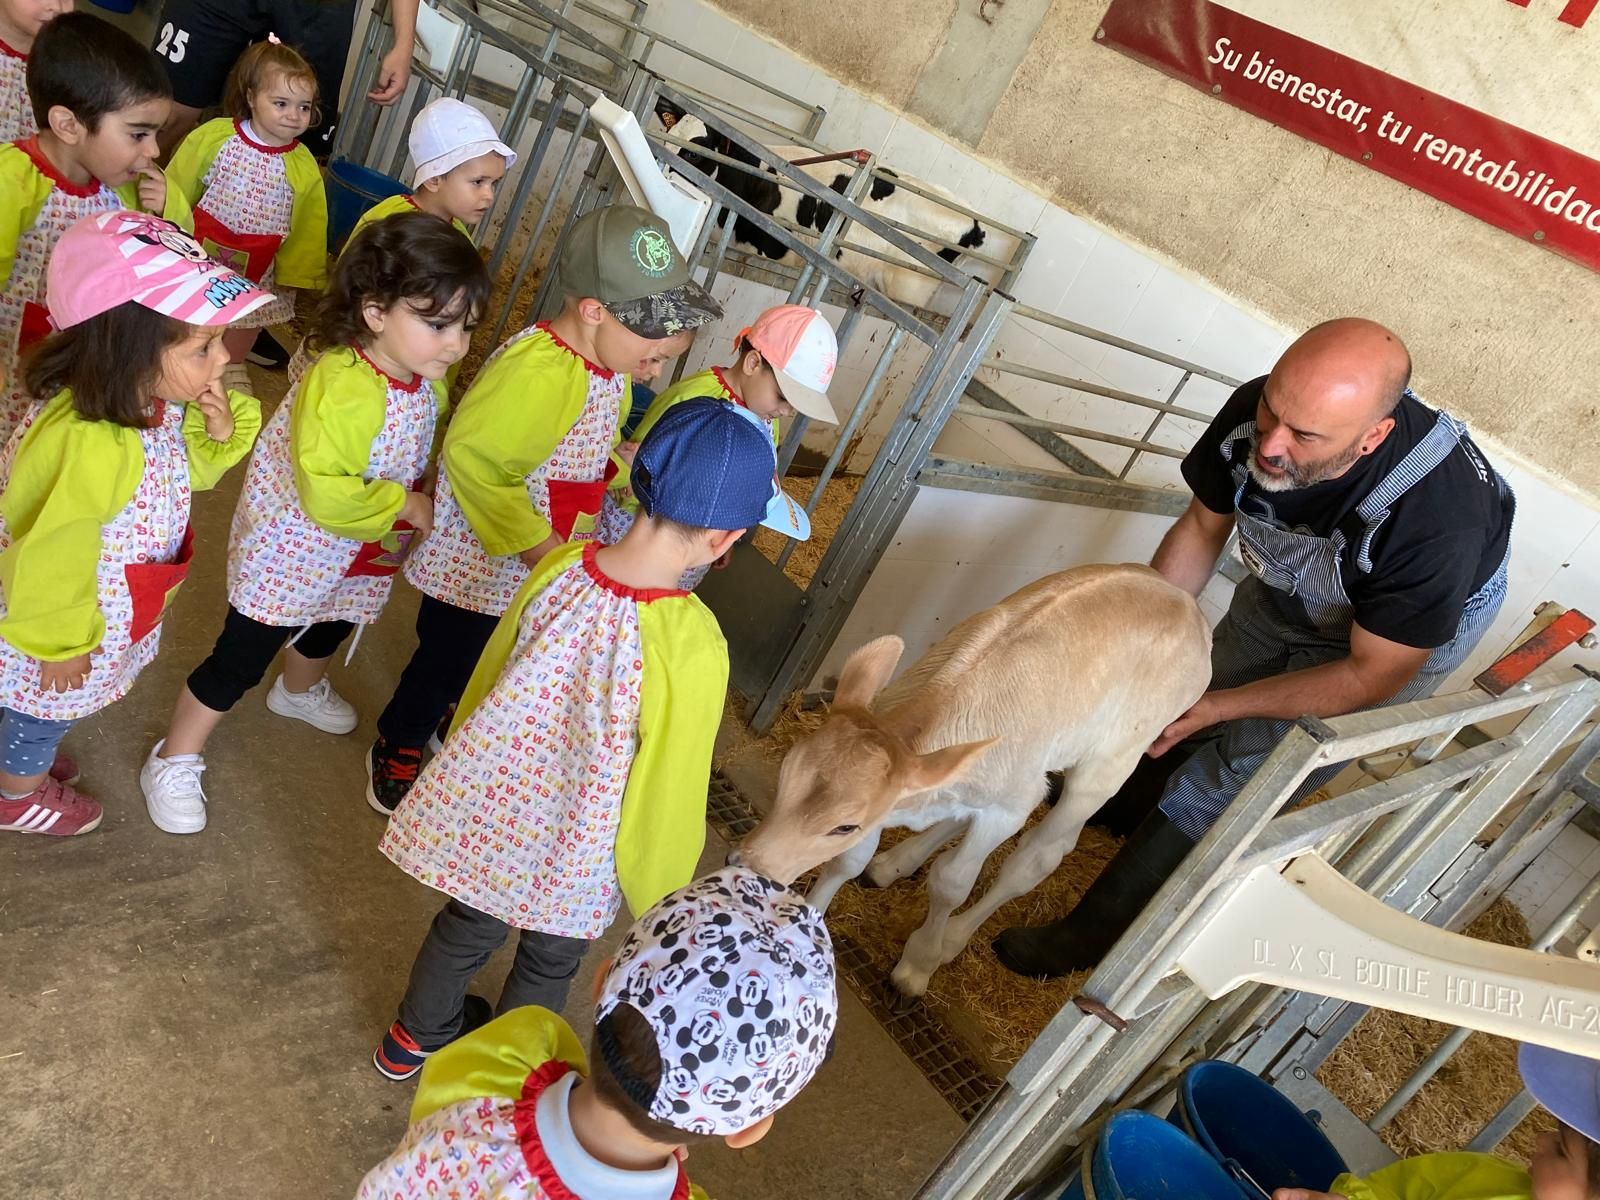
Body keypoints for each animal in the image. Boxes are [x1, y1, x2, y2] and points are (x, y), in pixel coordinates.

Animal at [732, 569, 1203, 998]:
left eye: (844, 824)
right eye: (786, 771)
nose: (746, 863)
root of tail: (1186, 602)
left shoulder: (1011, 806)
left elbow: (951, 881)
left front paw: (916, 967)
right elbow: (849, 861)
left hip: (1111, 762)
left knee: (1037, 857)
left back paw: (951, 940)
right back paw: (893, 864)